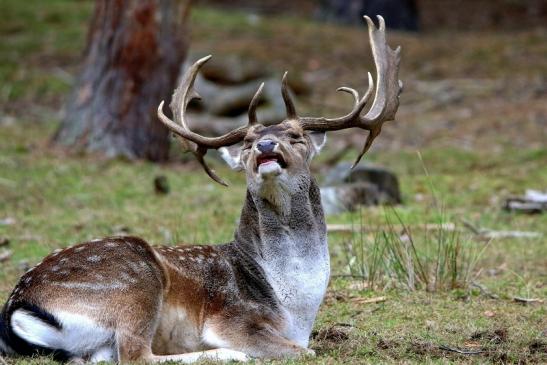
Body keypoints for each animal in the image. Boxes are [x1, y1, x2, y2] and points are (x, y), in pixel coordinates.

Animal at [1, 15, 402, 362]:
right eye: (247, 142)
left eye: (296, 135)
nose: (265, 145)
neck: (297, 309)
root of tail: (17, 306)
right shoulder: (235, 318)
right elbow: (307, 352)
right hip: (134, 283)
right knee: (136, 354)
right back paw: (229, 354)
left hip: (95, 339)